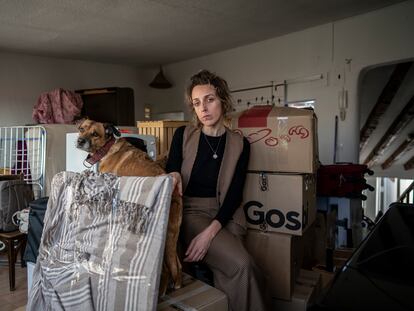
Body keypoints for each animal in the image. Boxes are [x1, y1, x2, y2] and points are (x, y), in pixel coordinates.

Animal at [76, 119, 183, 298]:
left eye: (95, 134)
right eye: (82, 129)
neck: (106, 148)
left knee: (166, 270)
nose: (80, 140)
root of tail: (173, 192)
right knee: (176, 264)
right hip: (172, 236)